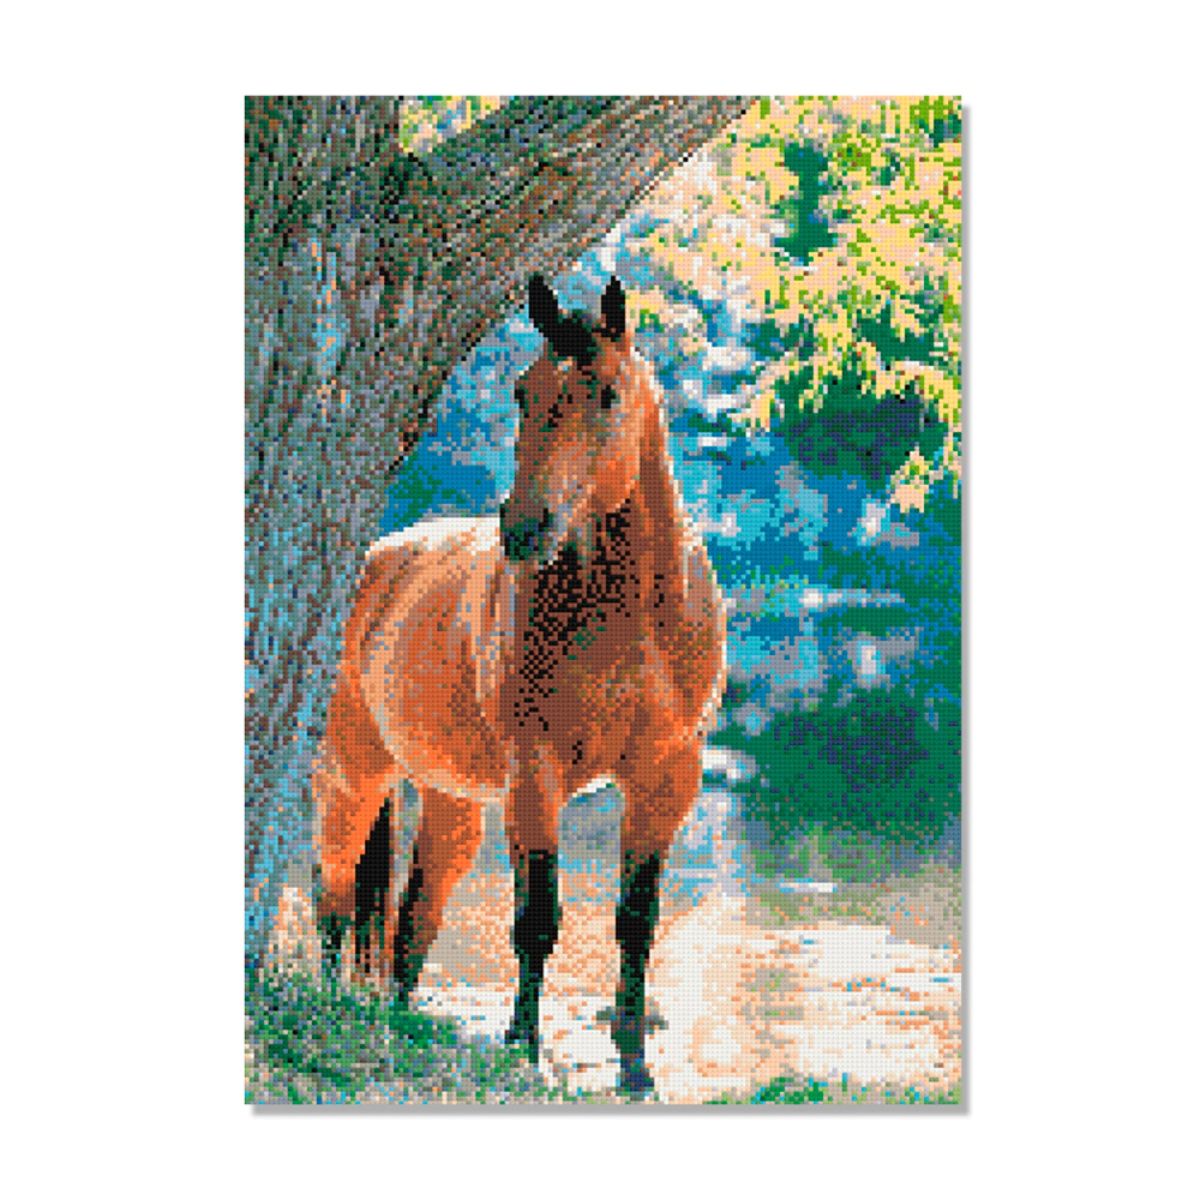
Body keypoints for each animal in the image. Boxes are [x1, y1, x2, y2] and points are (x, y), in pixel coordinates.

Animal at [313, 273, 727, 1095]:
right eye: (522, 390)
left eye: (607, 394)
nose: (525, 528)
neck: (634, 612)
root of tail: (371, 566)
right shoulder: (535, 776)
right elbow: (537, 918)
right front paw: (522, 1045)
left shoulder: (668, 777)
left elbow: (636, 920)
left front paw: (634, 1067)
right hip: (353, 776)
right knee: (335, 894)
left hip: (450, 802)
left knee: (414, 913)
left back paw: (399, 1021)